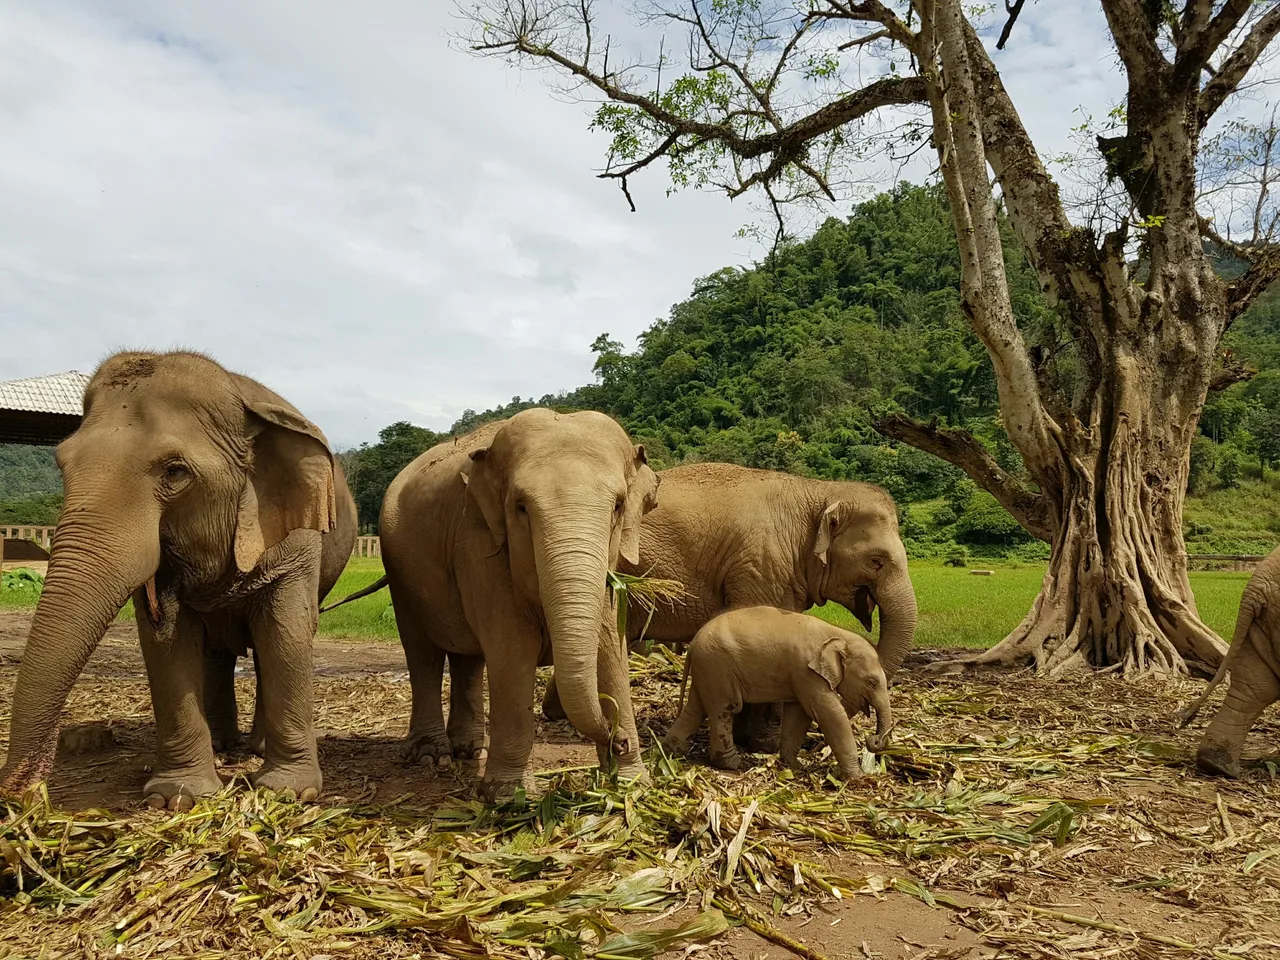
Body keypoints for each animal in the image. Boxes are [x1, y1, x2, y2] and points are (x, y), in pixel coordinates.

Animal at [0, 350, 355, 808]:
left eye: (174, 472)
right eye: (62, 463)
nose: (23, 790)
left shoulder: (296, 538)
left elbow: (285, 630)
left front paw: (287, 792)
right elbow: (165, 642)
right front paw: (177, 798)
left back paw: (254, 748)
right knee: (215, 651)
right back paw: (222, 744)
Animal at [327, 407, 660, 803]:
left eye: (619, 506)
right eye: (521, 508)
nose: (619, 738)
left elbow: (609, 647)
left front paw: (632, 785)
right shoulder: (478, 544)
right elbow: (512, 649)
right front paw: (508, 797)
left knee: (468, 658)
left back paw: (470, 750)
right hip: (400, 575)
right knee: (422, 652)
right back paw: (431, 756)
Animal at [665, 609, 896, 783]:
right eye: (872, 682)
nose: (872, 740)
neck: (837, 634)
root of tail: (693, 644)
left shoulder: (800, 676)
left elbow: (799, 716)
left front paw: (794, 765)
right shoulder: (806, 672)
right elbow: (829, 714)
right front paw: (858, 778)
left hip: (707, 669)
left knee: (696, 709)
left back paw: (672, 751)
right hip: (717, 668)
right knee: (724, 710)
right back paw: (732, 764)